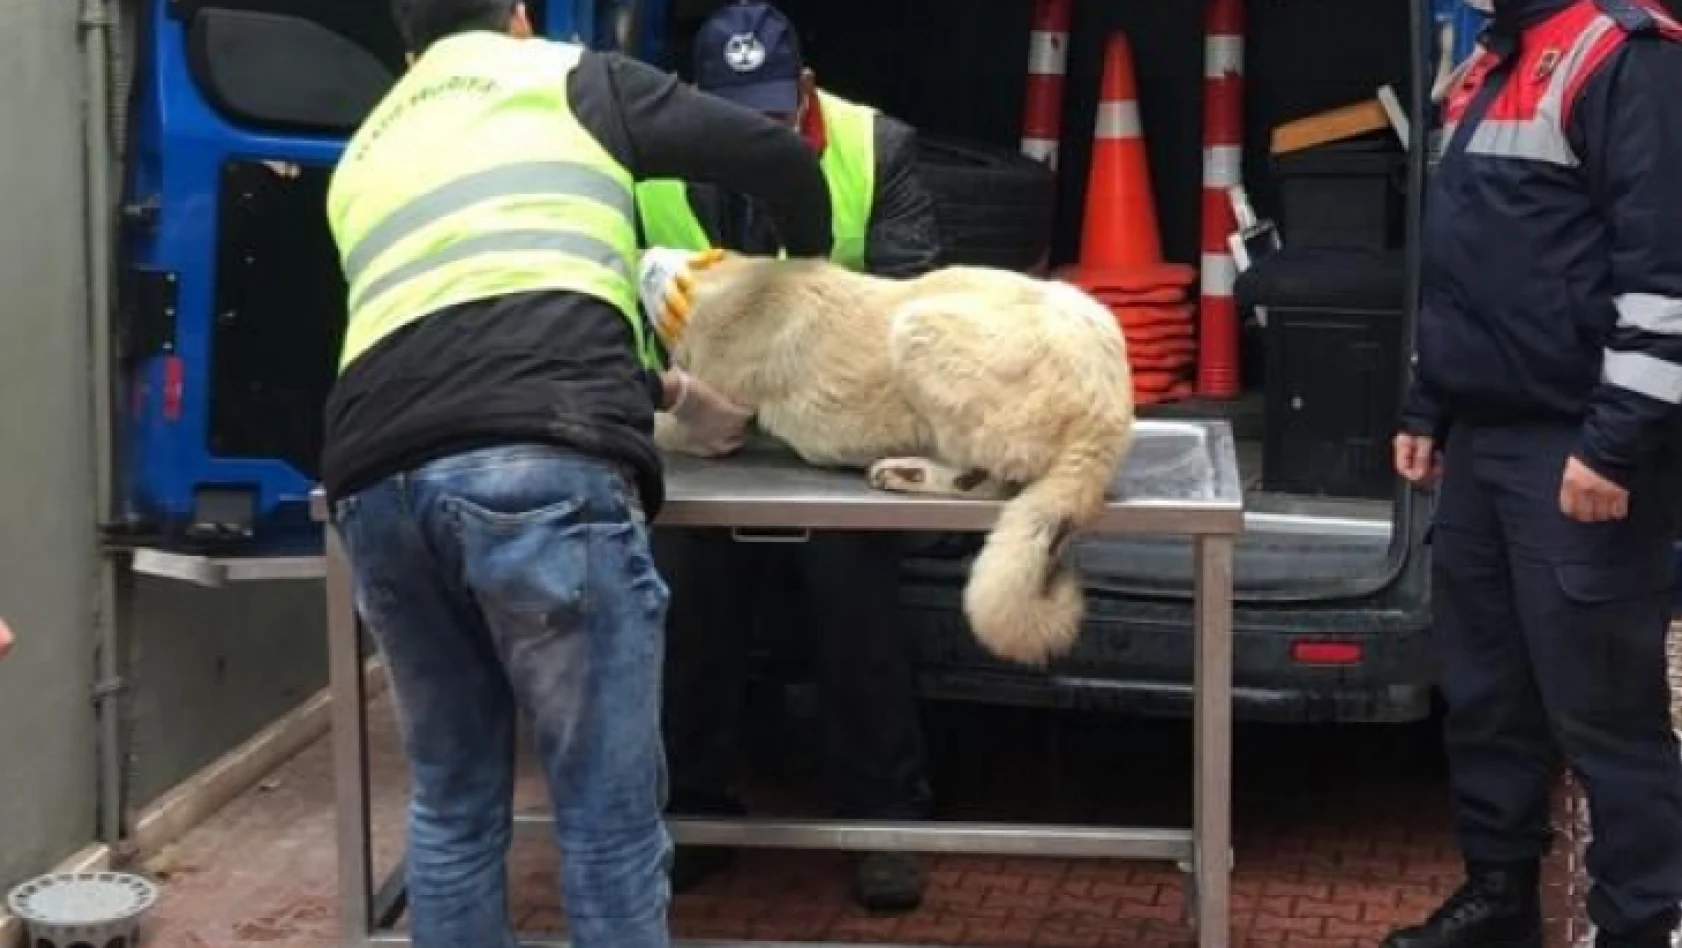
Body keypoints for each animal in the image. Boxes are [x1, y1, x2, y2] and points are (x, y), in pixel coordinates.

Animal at [639, 252, 1130, 665]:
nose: (647, 254)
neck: (731, 285)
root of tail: (1105, 416)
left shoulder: (709, 404)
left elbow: (664, 423)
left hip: (916, 329)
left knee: (995, 482)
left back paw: (909, 473)